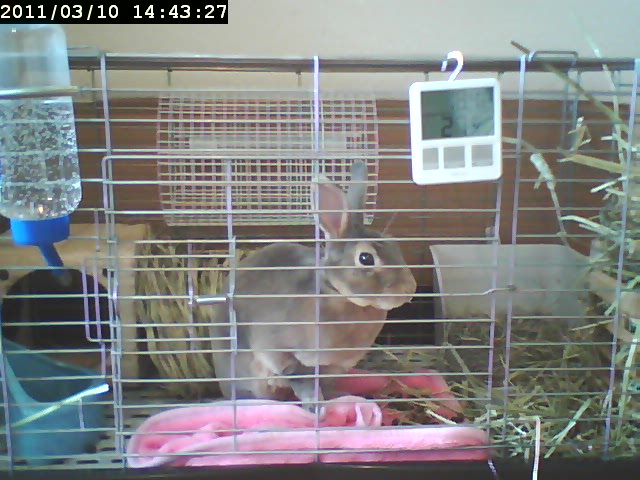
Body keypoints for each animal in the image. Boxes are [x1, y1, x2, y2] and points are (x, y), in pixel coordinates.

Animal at [207, 160, 417, 411]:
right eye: (366, 258)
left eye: (395, 245)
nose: (409, 289)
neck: (338, 295)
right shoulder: (281, 351)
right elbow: (300, 379)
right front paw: (317, 408)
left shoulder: (332, 368)